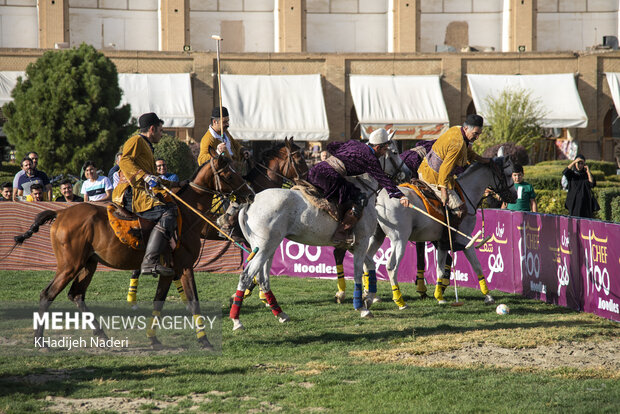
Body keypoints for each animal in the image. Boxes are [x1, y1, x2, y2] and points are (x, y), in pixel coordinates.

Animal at [13, 154, 254, 350]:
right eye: (228, 174)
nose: (250, 193)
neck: (187, 213)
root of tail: (60, 214)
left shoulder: (170, 271)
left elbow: (159, 301)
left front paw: (153, 339)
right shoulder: (184, 267)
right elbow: (193, 300)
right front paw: (204, 341)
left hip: (88, 264)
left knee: (77, 295)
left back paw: (102, 336)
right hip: (69, 265)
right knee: (47, 295)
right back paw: (41, 341)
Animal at [360, 158, 516, 308]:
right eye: (509, 174)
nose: (514, 196)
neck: (466, 194)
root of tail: (379, 199)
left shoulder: (442, 243)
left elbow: (440, 269)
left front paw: (440, 297)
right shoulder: (466, 240)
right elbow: (477, 266)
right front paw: (488, 296)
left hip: (377, 236)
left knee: (367, 260)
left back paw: (369, 296)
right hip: (399, 239)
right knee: (391, 267)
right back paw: (400, 302)